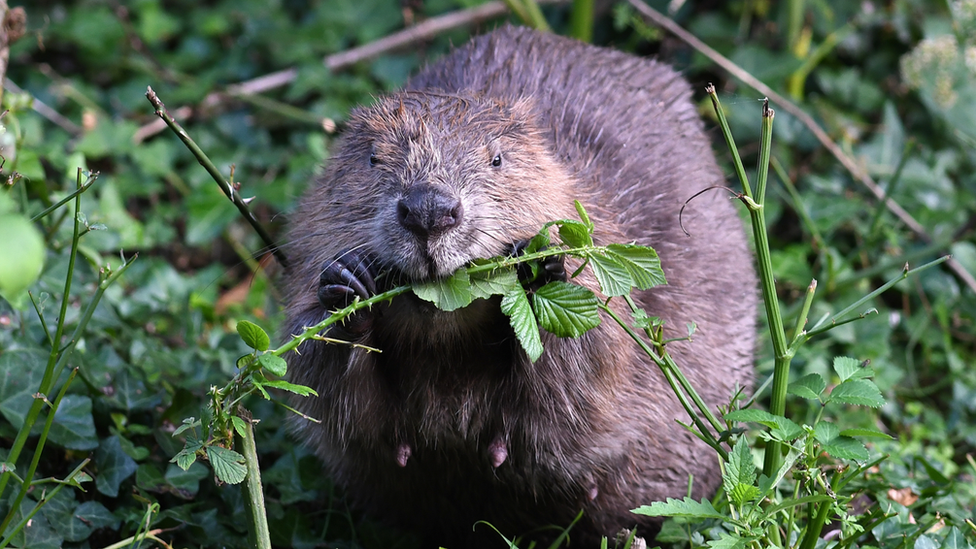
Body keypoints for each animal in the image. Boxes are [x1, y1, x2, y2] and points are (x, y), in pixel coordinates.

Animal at [282, 24, 756, 544]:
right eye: (371, 158)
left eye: (497, 158)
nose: (429, 210)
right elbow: (333, 399)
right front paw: (347, 286)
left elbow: (584, 378)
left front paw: (538, 269)